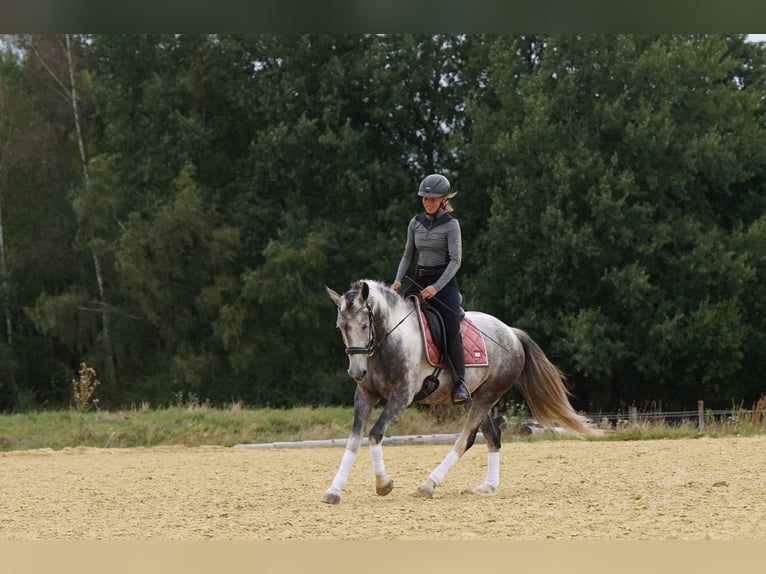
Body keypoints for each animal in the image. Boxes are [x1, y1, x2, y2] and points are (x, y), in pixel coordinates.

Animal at [322, 279, 598, 504]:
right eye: (340, 327)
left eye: (364, 324)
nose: (357, 372)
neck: (388, 342)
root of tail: (511, 332)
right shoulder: (365, 395)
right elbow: (354, 439)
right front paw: (334, 490)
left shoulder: (401, 397)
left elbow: (375, 434)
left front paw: (383, 484)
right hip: (477, 397)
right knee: (492, 436)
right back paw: (489, 486)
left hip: (488, 396)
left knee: (465, 438)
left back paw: (428, 485)